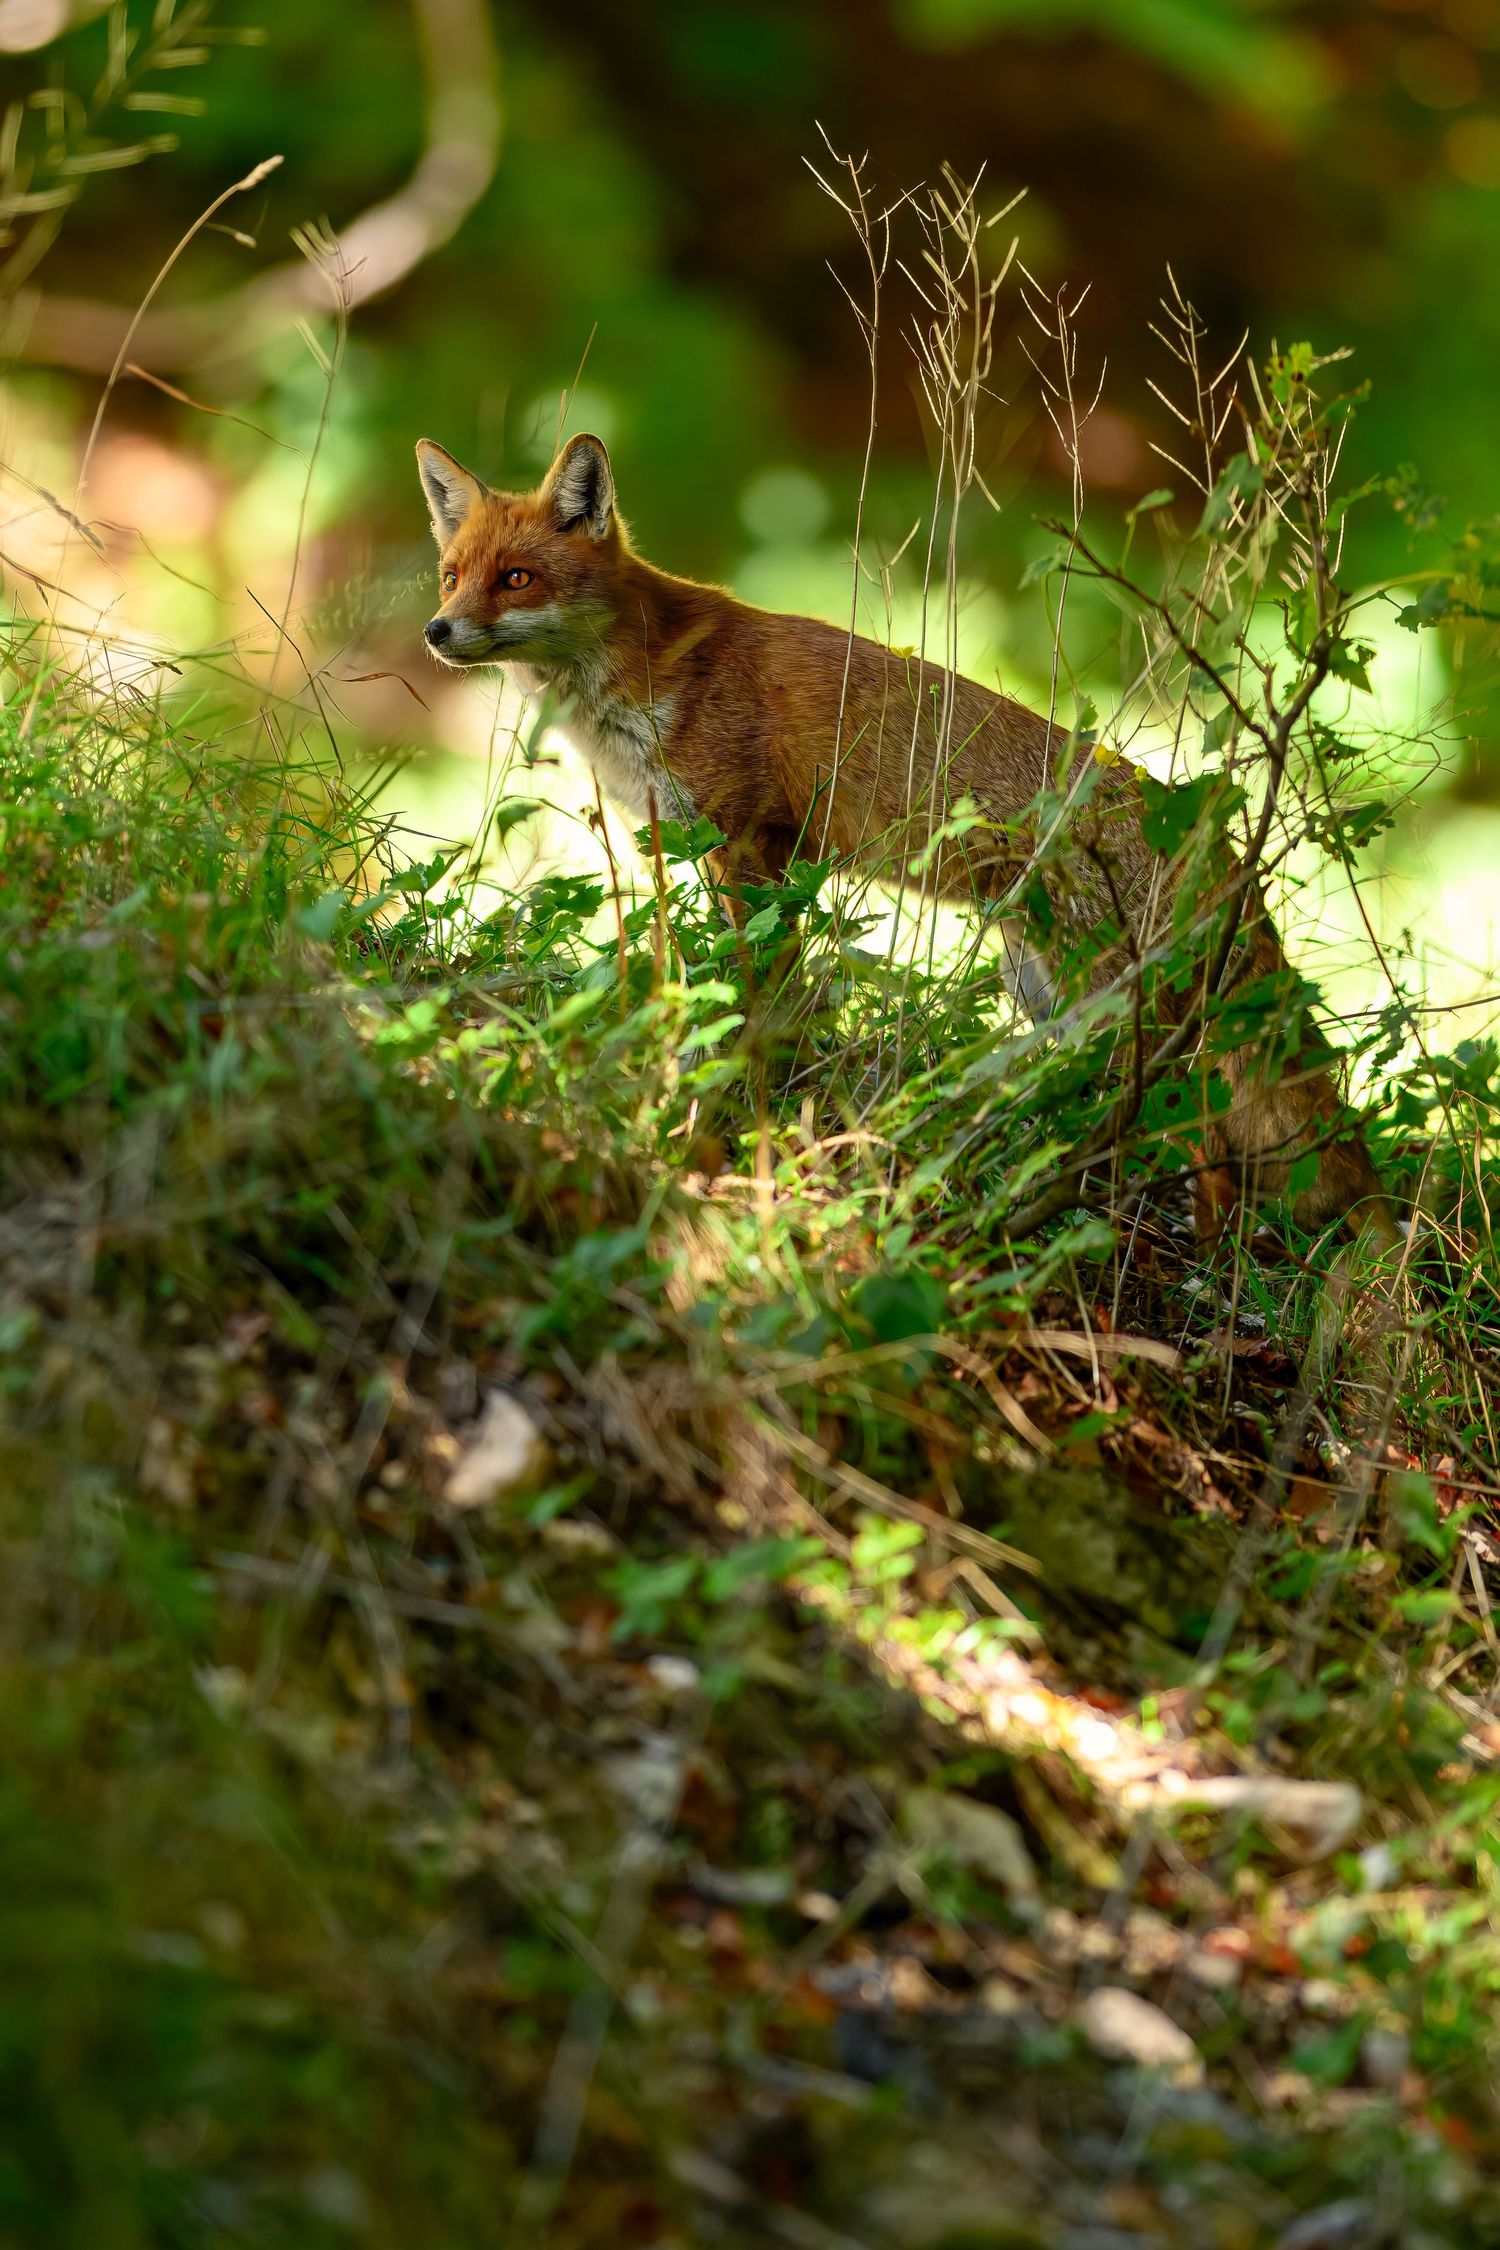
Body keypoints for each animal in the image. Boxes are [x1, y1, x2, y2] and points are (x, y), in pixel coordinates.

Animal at [416, 429, 1397, 1248]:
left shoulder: (754, 844)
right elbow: (684, 977)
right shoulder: (681, 846)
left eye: (516, 579)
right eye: (451, 575)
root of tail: (1190, 819)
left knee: (1205, 1147)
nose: (436, 631)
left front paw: (745, 1097)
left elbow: (755, 995)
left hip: (1108, 1005)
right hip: (1045, 991)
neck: (641, 683)